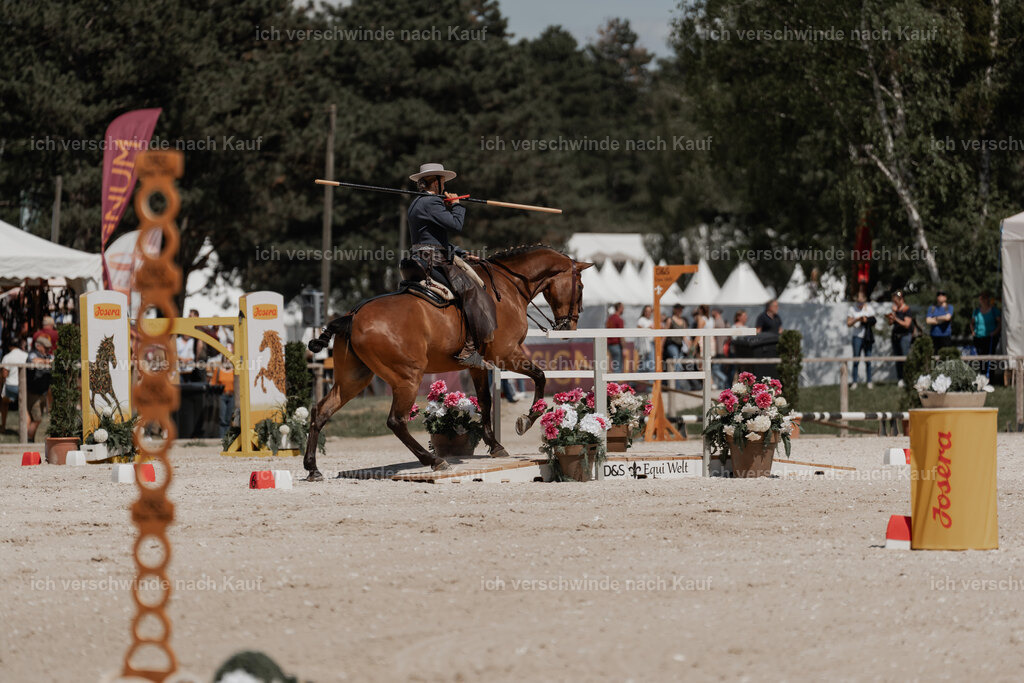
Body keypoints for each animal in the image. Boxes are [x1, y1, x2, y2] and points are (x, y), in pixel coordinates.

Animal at [302, 246, 593, 481]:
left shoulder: (477, 365)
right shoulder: (506, 353)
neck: (509, 286)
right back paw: (434, 461)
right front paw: (526, 420)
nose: (569, 328)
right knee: (396, 421)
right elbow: (540, 377)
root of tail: (352, 316)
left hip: (354, 379)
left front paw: (495, 445)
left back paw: (312, 468)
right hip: (408, 378)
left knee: (321, 412)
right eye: (580, 287)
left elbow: (485, 401)